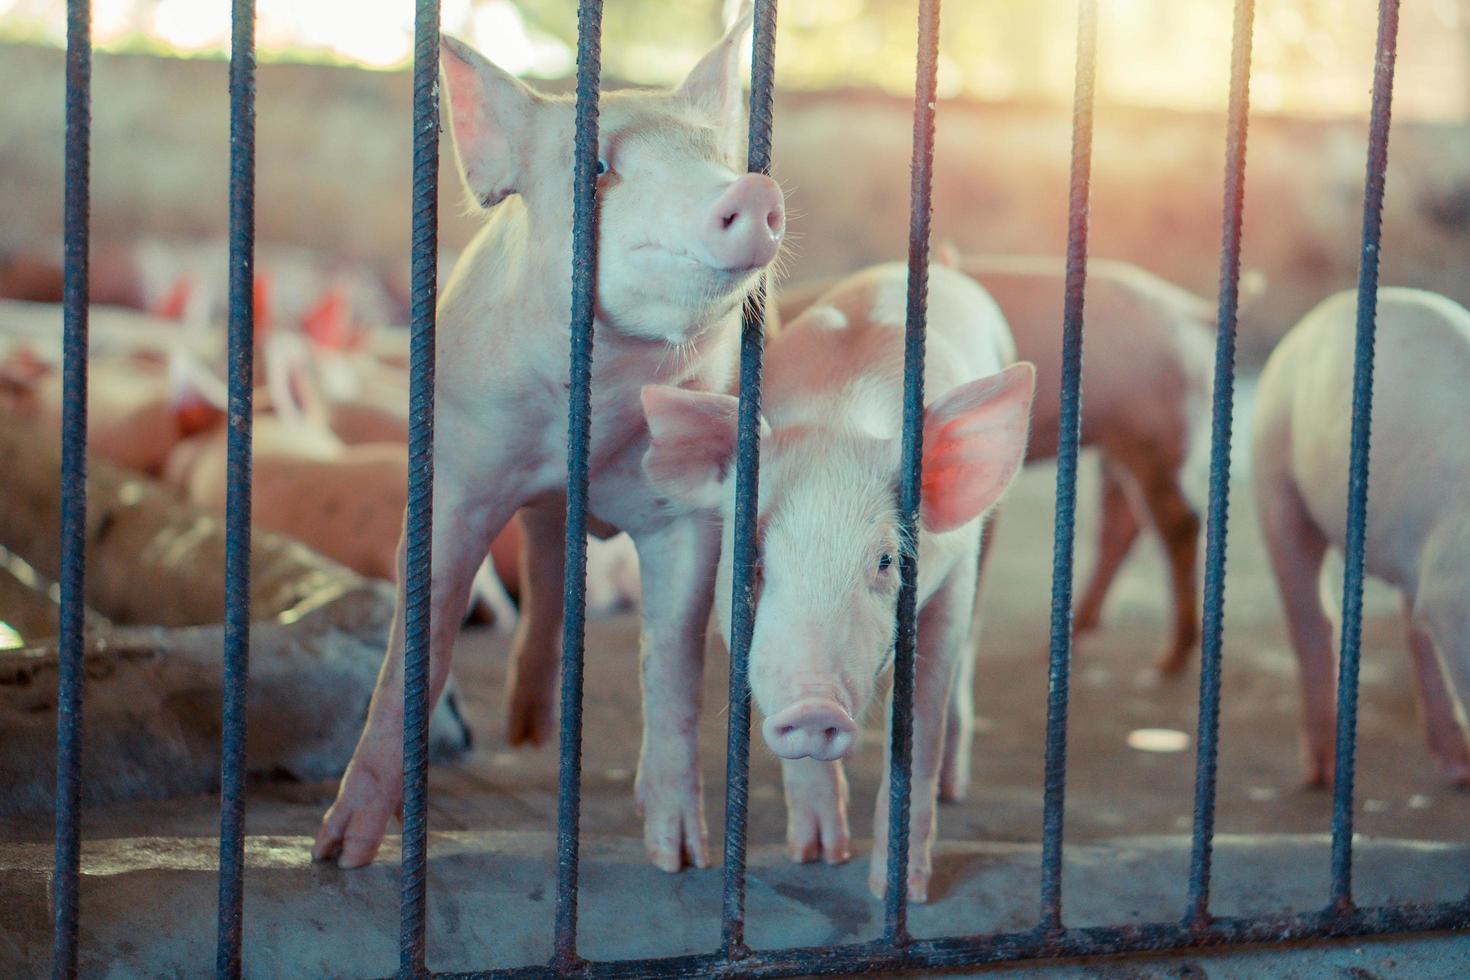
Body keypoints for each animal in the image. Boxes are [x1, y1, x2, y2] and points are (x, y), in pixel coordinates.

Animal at [314, 9, 787, 875]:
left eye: (720, 157)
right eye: (597, 167)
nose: (753, 188)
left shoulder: (689, 512)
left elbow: (674, 659)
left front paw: (681, 857)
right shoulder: (460, 471)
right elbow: (418, 644)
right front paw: (339, 853)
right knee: (542, 572)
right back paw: (525, 736)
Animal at [640, 262, 1034, 905]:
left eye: (885, 560)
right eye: (753, 559)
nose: (814, 705)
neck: (836, 417)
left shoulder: (953, 569)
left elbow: (921, 723)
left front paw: (900, 892)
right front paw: (817, 856)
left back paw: (956, 788)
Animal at [776, 251, 1211, 675]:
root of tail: (1185, 310)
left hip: (1157, 432)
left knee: (1179, 522)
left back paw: (1166, 663)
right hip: (1122, 441)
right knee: (1122, 523)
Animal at [1252, 285, 1470, 787]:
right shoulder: (1454, 587)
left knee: (1413, 624)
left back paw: (1458, 767)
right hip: (1274, 471)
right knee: (1311, 615)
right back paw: (1320, 773)